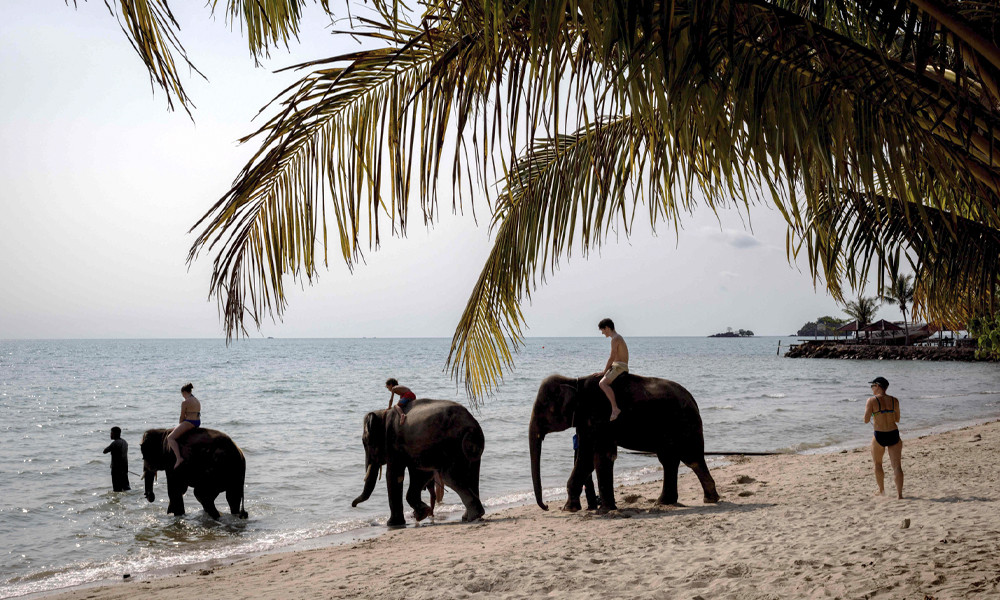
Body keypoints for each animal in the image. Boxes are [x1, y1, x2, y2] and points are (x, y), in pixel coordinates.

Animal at [352, 400, 484, 528]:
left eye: (365, 442)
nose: (353, 505)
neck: (383, 412)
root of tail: (471, 425)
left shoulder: (393, 443)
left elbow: (394, 475)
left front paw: (393, 523)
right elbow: (420, 474)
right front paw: (422, 513)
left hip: (451, 445)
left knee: (449, 477)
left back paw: (474, 516)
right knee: (472, 474)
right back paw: (468, 517)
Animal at [532, 376, 720, 510]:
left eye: (542, 408)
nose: (546, 506)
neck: (575, 381)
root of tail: (692, 399)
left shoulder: (600, 418)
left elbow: (594, 456)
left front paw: (586, 509)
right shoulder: (588, 422)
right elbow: (592, 456)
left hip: (685, 425)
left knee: (691, 459)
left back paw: (710, 499)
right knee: (669, 460)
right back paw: (664, 502)